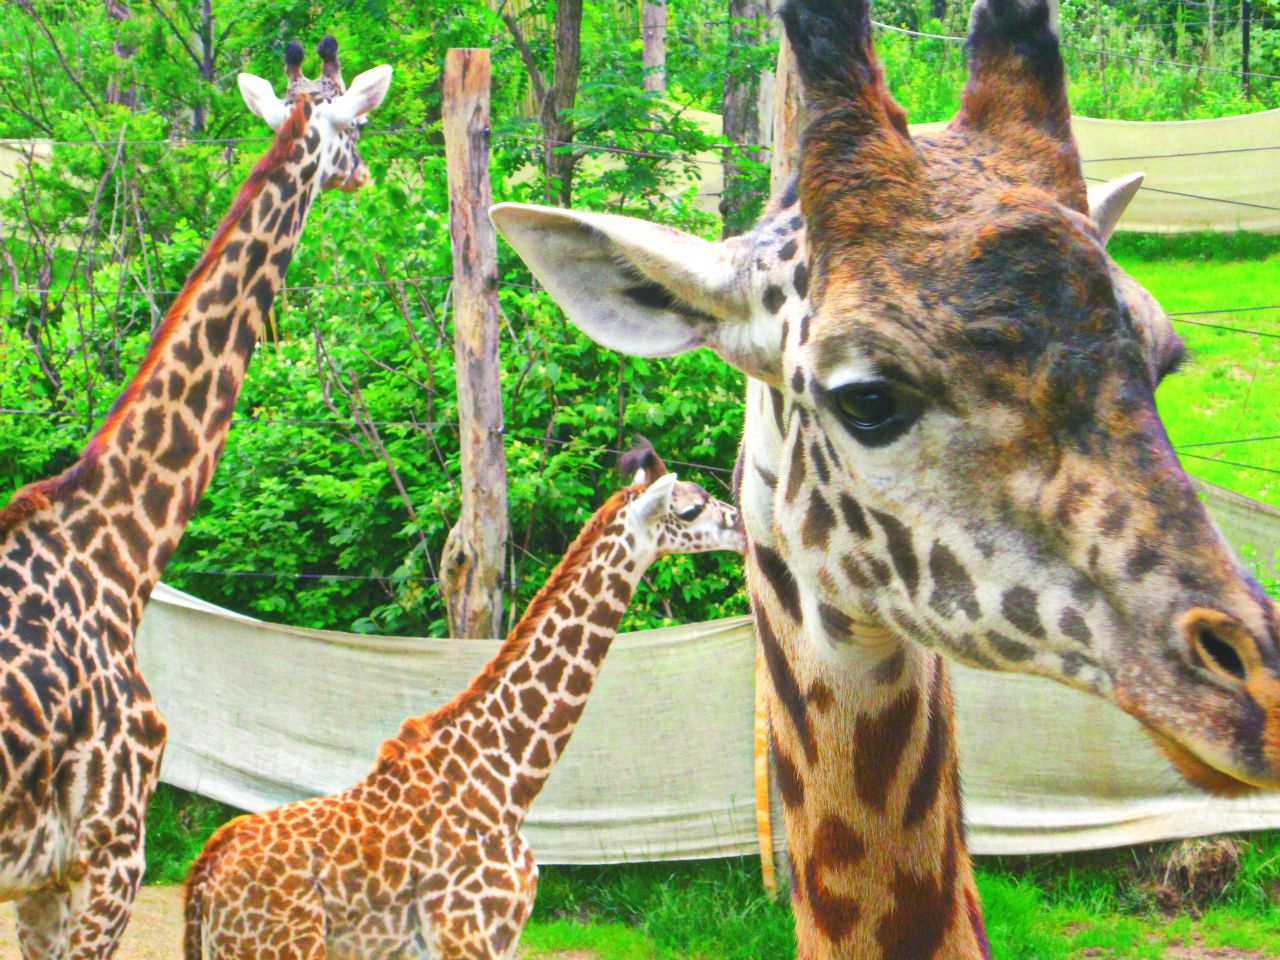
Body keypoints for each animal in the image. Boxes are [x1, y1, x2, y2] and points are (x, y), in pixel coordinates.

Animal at [181, 440, 745, 960]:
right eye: (691, 508)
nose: (741, 523)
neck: (507, 783)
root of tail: (204, 878)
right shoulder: (471, 936)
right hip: (281, 948)